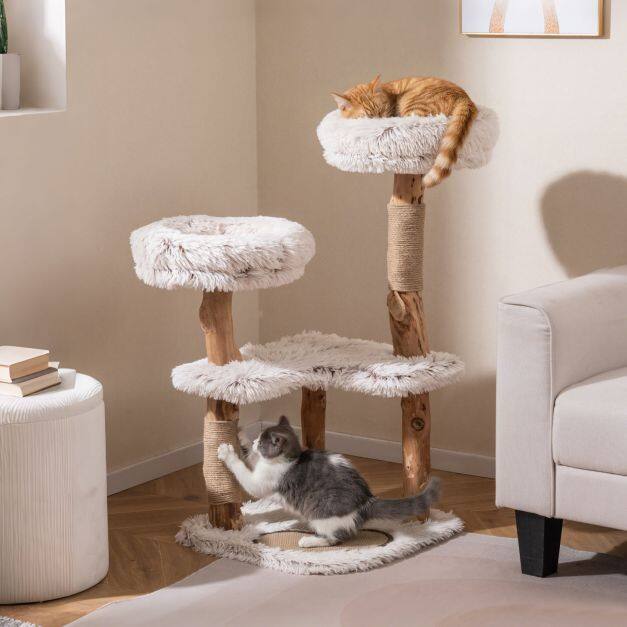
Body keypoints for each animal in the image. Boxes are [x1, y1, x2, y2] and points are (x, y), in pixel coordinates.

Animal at [218, 416, 440, 548]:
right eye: (258, 439)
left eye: (263, 443)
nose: (257, 442)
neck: (290, 459)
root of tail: (366, 499)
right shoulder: (260, 464)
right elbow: (250, 458)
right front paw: (239, 433)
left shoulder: (266, 479)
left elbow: (247, 478)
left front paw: (227, 453)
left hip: (322, 514)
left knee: (336, 538)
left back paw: (309, 540)